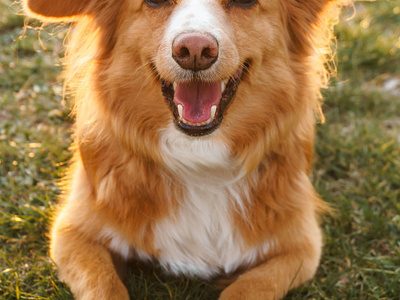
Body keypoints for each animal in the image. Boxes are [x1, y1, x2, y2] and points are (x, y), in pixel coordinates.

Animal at [24, 0, 344, 298]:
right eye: (154, 1)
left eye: (244, 1)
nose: (194, 49)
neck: (199, 156)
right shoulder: (73, 233)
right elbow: (104, 286)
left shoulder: (301, 247)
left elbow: (248, 287)